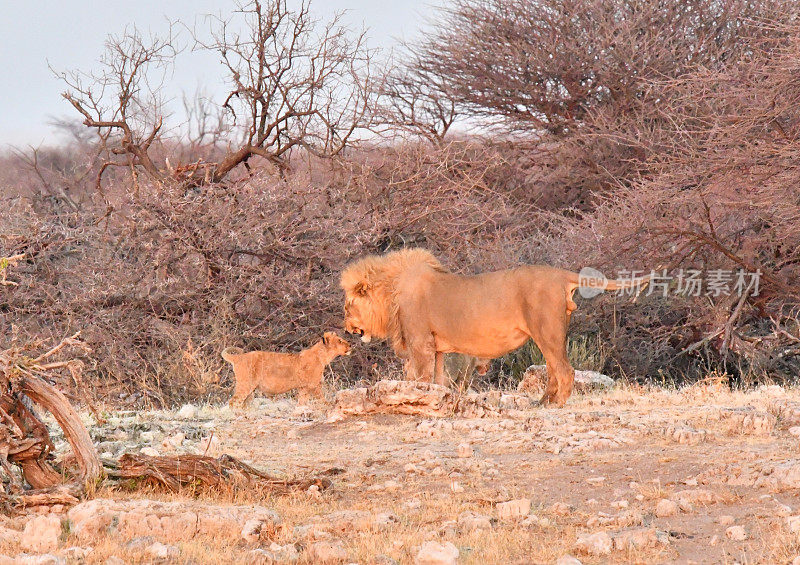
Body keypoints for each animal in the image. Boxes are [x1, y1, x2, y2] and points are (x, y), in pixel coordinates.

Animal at [223, 330, 352, 406]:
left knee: (244, 403)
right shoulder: (314, 386)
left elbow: (302, 403)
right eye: (340, 341)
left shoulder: (303, 388)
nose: (350, 345)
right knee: (233, 401)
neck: (323, 357)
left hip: (250, 390)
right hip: (245, 385)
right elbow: (323, 400)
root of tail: (239, 357)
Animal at [340, 248, 648, 406]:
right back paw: (542, 402)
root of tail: (560, 274)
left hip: (546, 331)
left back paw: (557, 404)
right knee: (553, 369)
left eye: (347, 305)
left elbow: (420, 378)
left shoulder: (420, 343)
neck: (391, 291)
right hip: (548, 334)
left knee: (565, 370)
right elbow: (438, 380)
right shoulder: (436, 349)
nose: (346, 329)